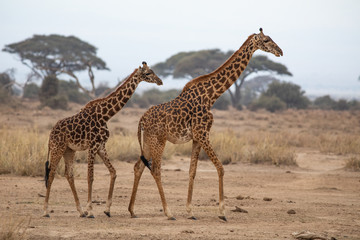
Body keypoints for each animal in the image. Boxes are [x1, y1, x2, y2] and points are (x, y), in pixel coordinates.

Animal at [43, 61, 163, 218]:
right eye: (148, 73)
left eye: (153, 71)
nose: (160, 81)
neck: (105, 115)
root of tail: (50, 134)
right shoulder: (92, 146)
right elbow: (90, 177)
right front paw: (90, 210)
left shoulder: (101, 146)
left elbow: (113, 172)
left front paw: (107, 209)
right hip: (58, 148)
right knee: (51, 174)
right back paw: (46, 210)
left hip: (69, 150)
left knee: (68, 174)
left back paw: (80, 211)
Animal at [128, 28, 282, 221]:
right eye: (267, 40)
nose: (280, 51)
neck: (211, 96)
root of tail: (141, 119)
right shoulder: (203, 133)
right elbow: (221, 168)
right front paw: (222, 212)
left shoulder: (196, 137)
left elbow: (192, 171)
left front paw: (190, 211)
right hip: (159, 140)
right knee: (155, 169)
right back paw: (169, 213)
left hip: (149, 141)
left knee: (138, 166)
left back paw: (132, 210)